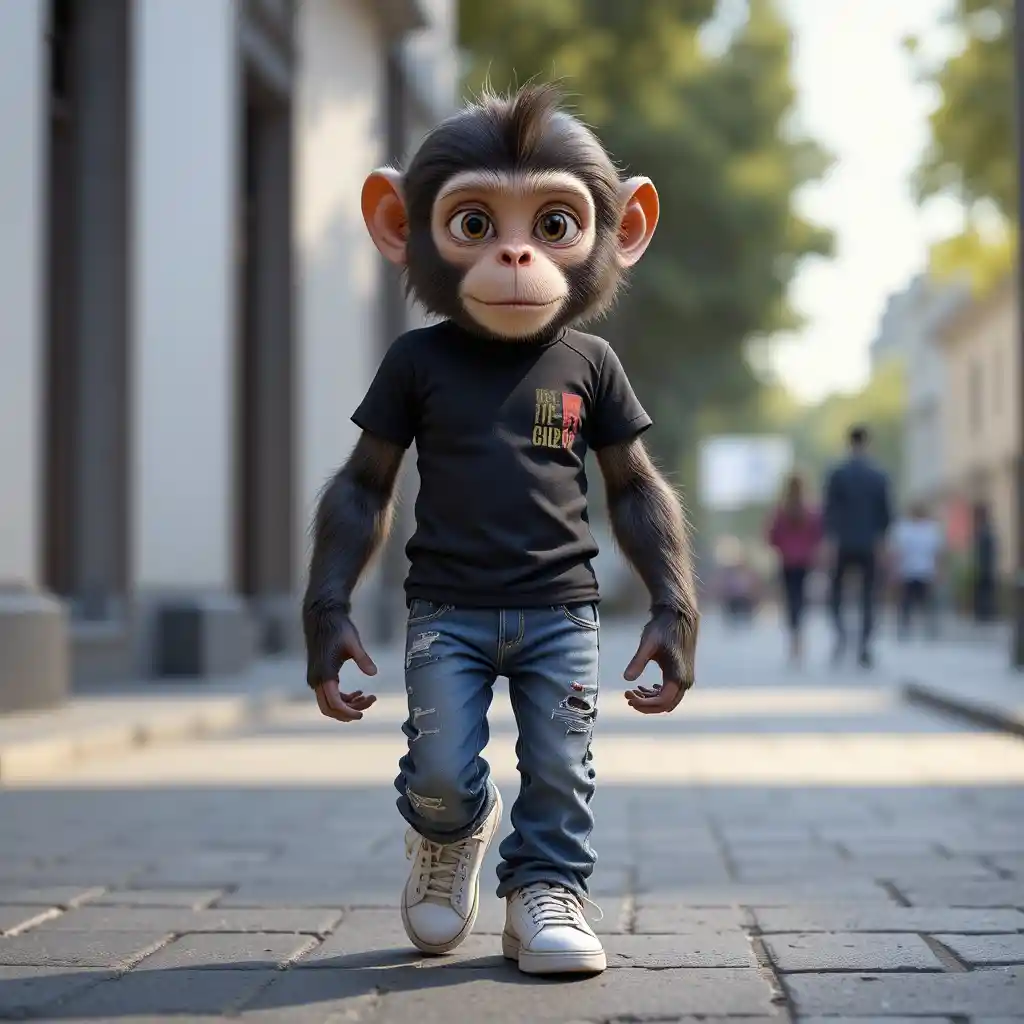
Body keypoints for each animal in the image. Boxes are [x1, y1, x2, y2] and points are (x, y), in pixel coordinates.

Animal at [302, 83, 698, 976]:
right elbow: (364, 486)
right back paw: (442, 892)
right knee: (447, 771)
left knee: (554, 757)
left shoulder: (610, 378)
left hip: (561, 644)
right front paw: (330, 644)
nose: (516, 256)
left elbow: (633, 487)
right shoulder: (395, 375)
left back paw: (547, 917)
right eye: (475, 223)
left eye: (554, 224)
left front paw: (670, 641)